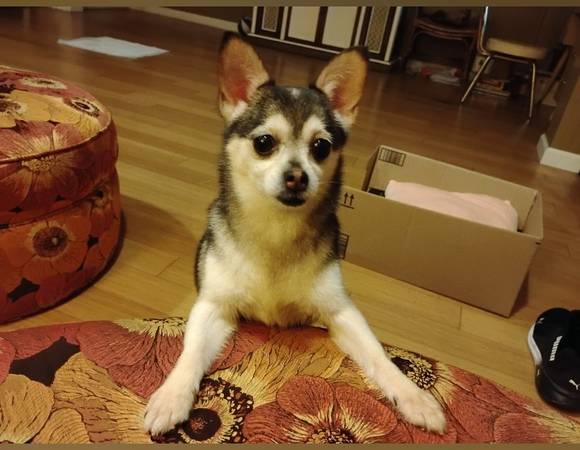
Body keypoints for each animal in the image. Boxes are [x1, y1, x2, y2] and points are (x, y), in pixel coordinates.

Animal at [143, 33, 446, 437]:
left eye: (321, 146)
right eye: (263, 143)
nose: (297, 176)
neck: (277, 229)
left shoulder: (340, 310)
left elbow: (379, 353)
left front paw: (413, 396)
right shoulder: (213, 306)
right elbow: (190, 353)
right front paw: (171, 396)